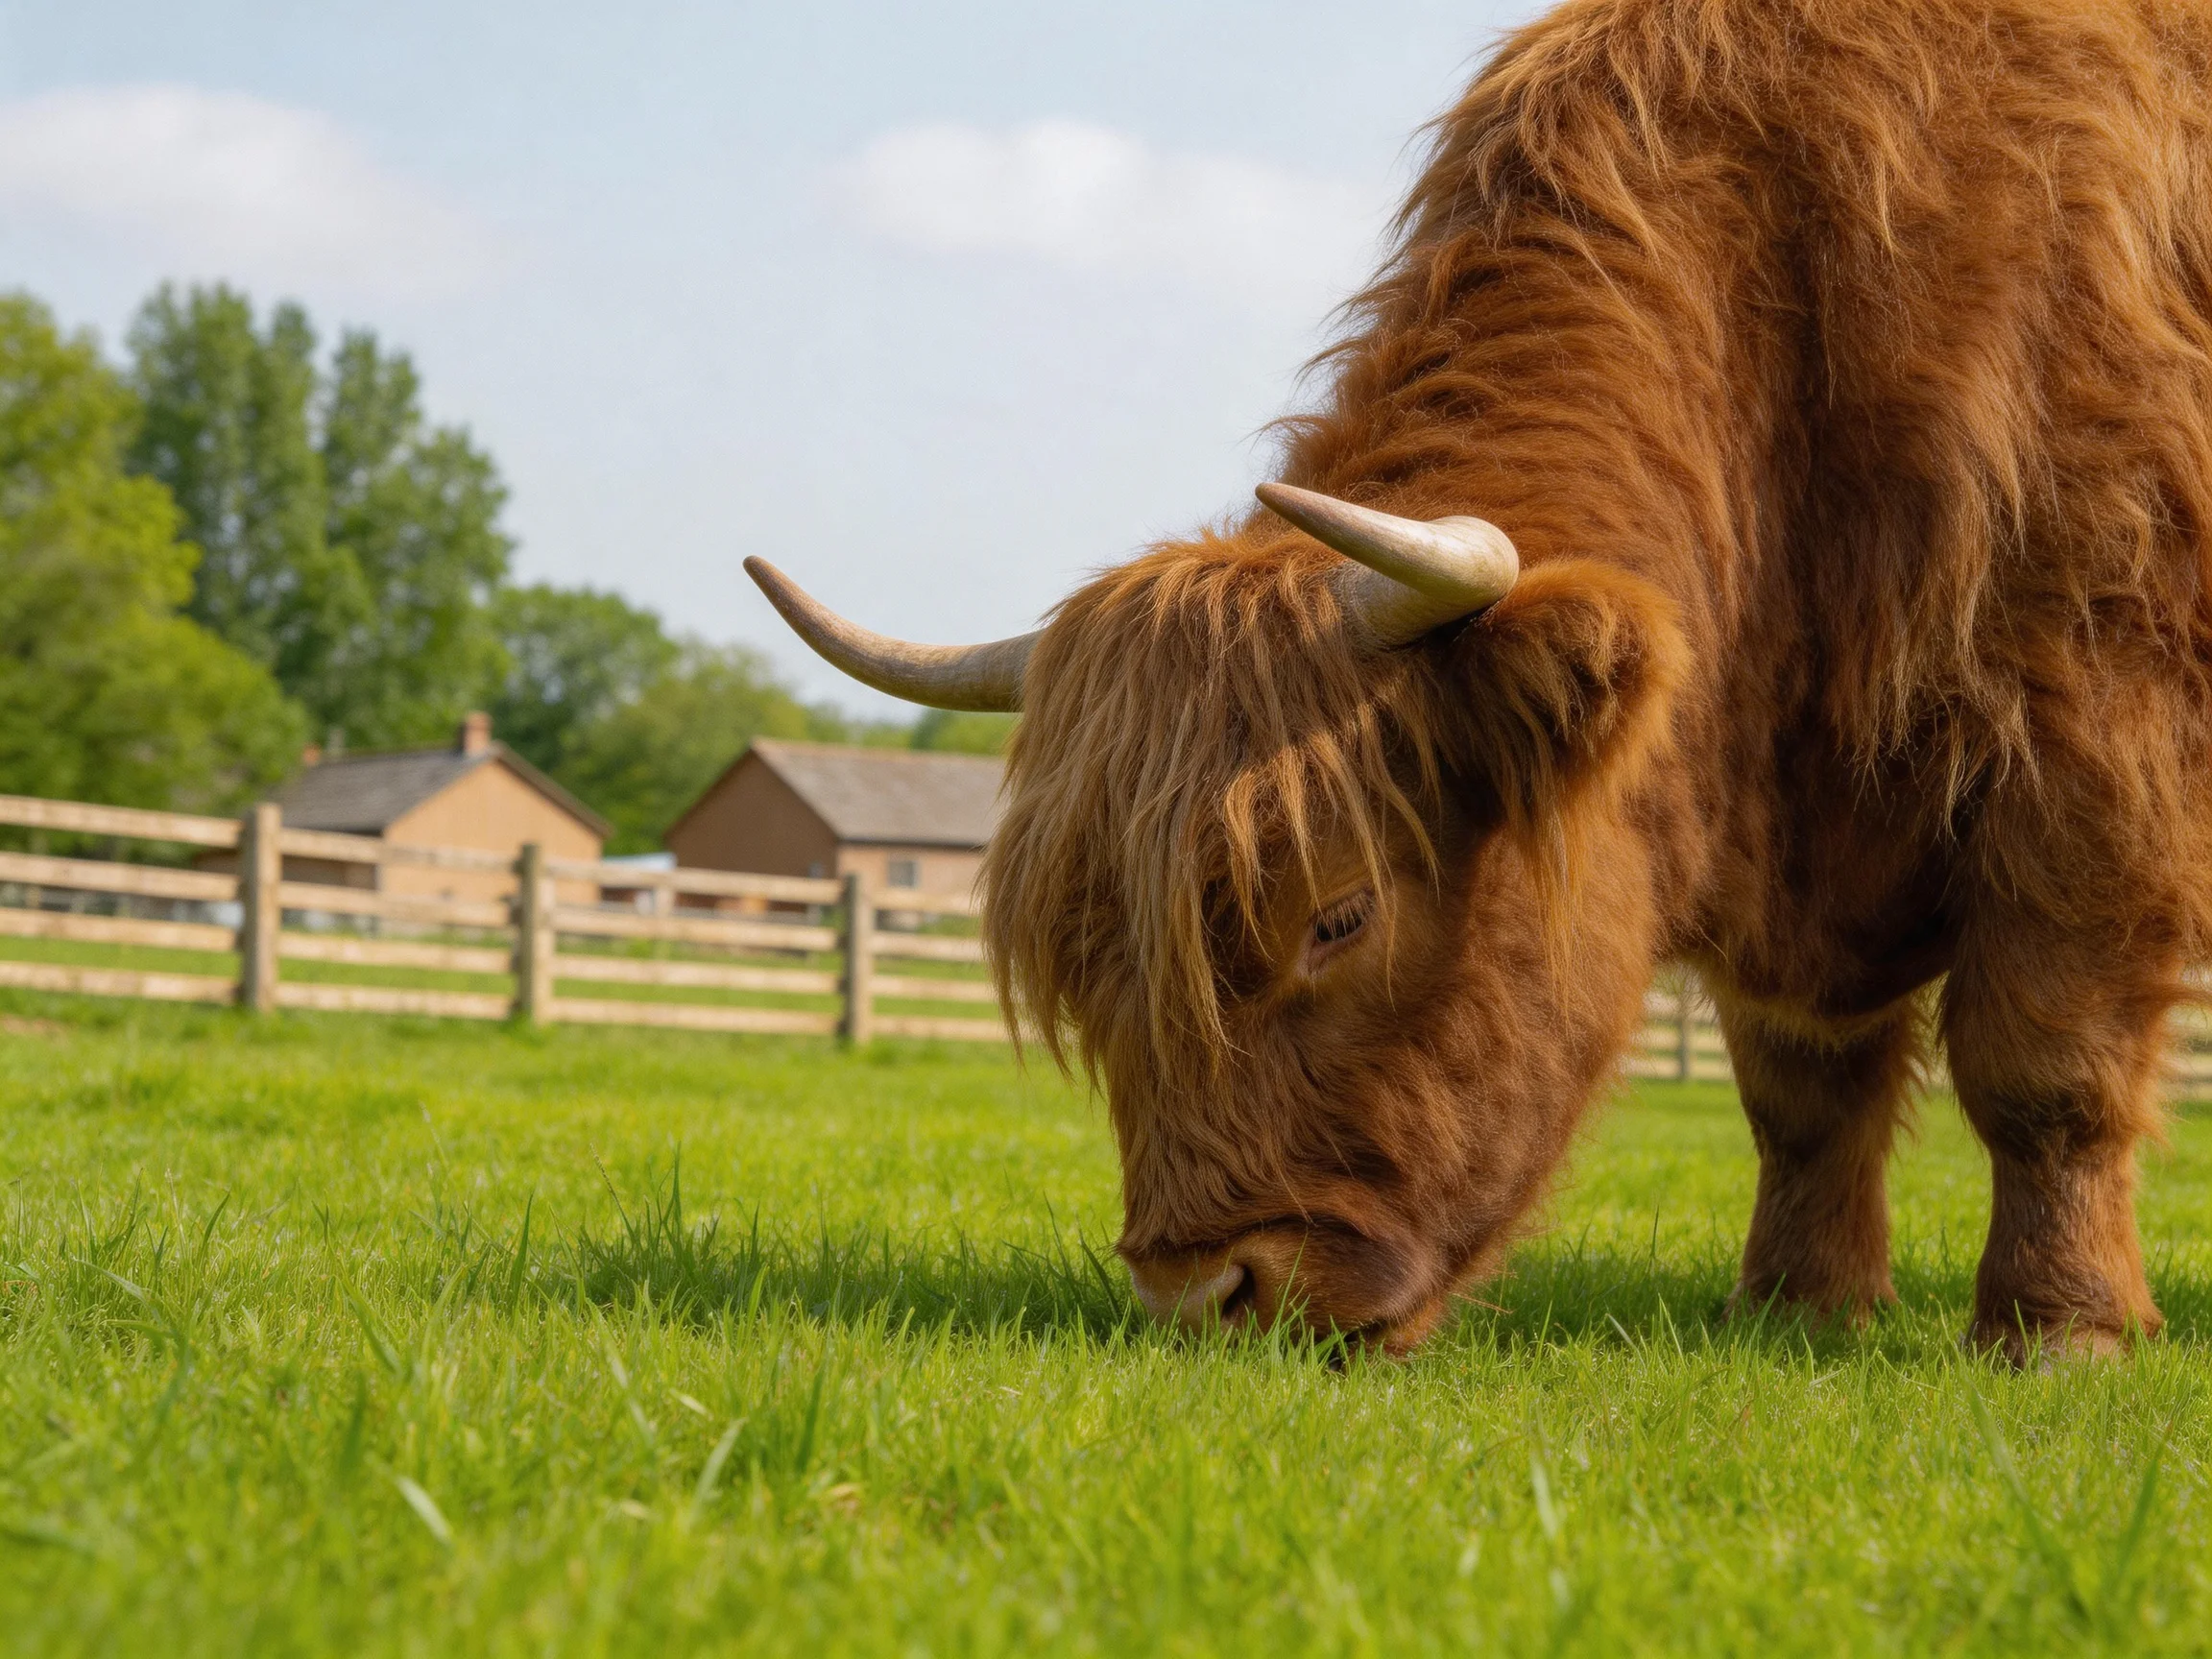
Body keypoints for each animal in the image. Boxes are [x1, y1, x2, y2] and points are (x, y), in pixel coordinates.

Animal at [748, 0, 2212, 1364]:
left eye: (1337, 916)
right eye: (1089, 954)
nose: (1202, 1295)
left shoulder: (2095, 746)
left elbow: (2046, 1067)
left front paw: (2060, 1329)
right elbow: (1804, 1094)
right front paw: (1797, 1310)